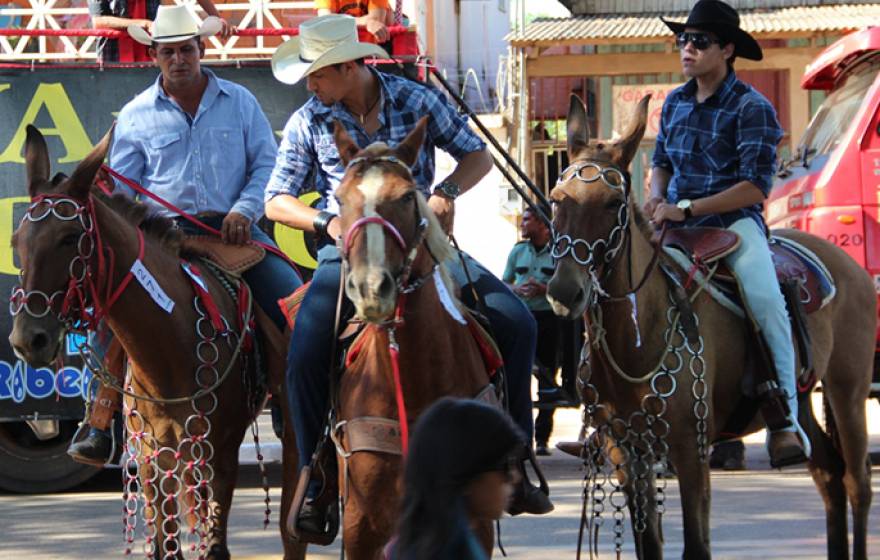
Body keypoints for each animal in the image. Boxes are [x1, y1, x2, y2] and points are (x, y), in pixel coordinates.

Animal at [8, 127, 306, 560]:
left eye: (70, 236)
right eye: (17, 241)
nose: (28, 338)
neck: (168, 346)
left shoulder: (219, 453)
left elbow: (215, 546)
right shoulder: (153, 456)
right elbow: (166, 546)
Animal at [548, 94, 876, 556]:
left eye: (613, 204)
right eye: (557, 197)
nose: (565, 290)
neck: (637, 339)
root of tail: (849, 267)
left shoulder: (691, 449)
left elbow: (696, 546)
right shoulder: (626, 450)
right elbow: (649, 544)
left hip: (848, 388)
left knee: (856, 482)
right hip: (803, 399)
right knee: (828, 474)